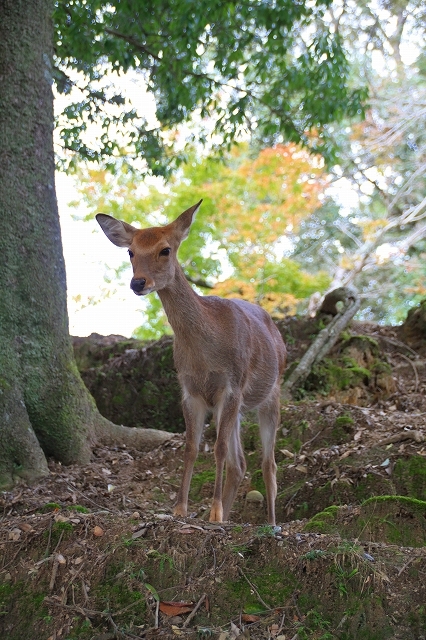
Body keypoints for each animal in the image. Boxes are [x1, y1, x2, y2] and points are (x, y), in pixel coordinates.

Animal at [96, 201, 286, 524]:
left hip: (270, 395)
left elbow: (218, 449)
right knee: (241, 463)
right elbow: (191, 448)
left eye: (165, 249)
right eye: (130, 251)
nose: (138, 282)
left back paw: (271, 524)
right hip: (237, 408)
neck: (204, 354)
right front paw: (181, 508)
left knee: (268, 463)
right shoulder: (189, 390)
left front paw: (214, 511)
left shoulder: (231, 385)